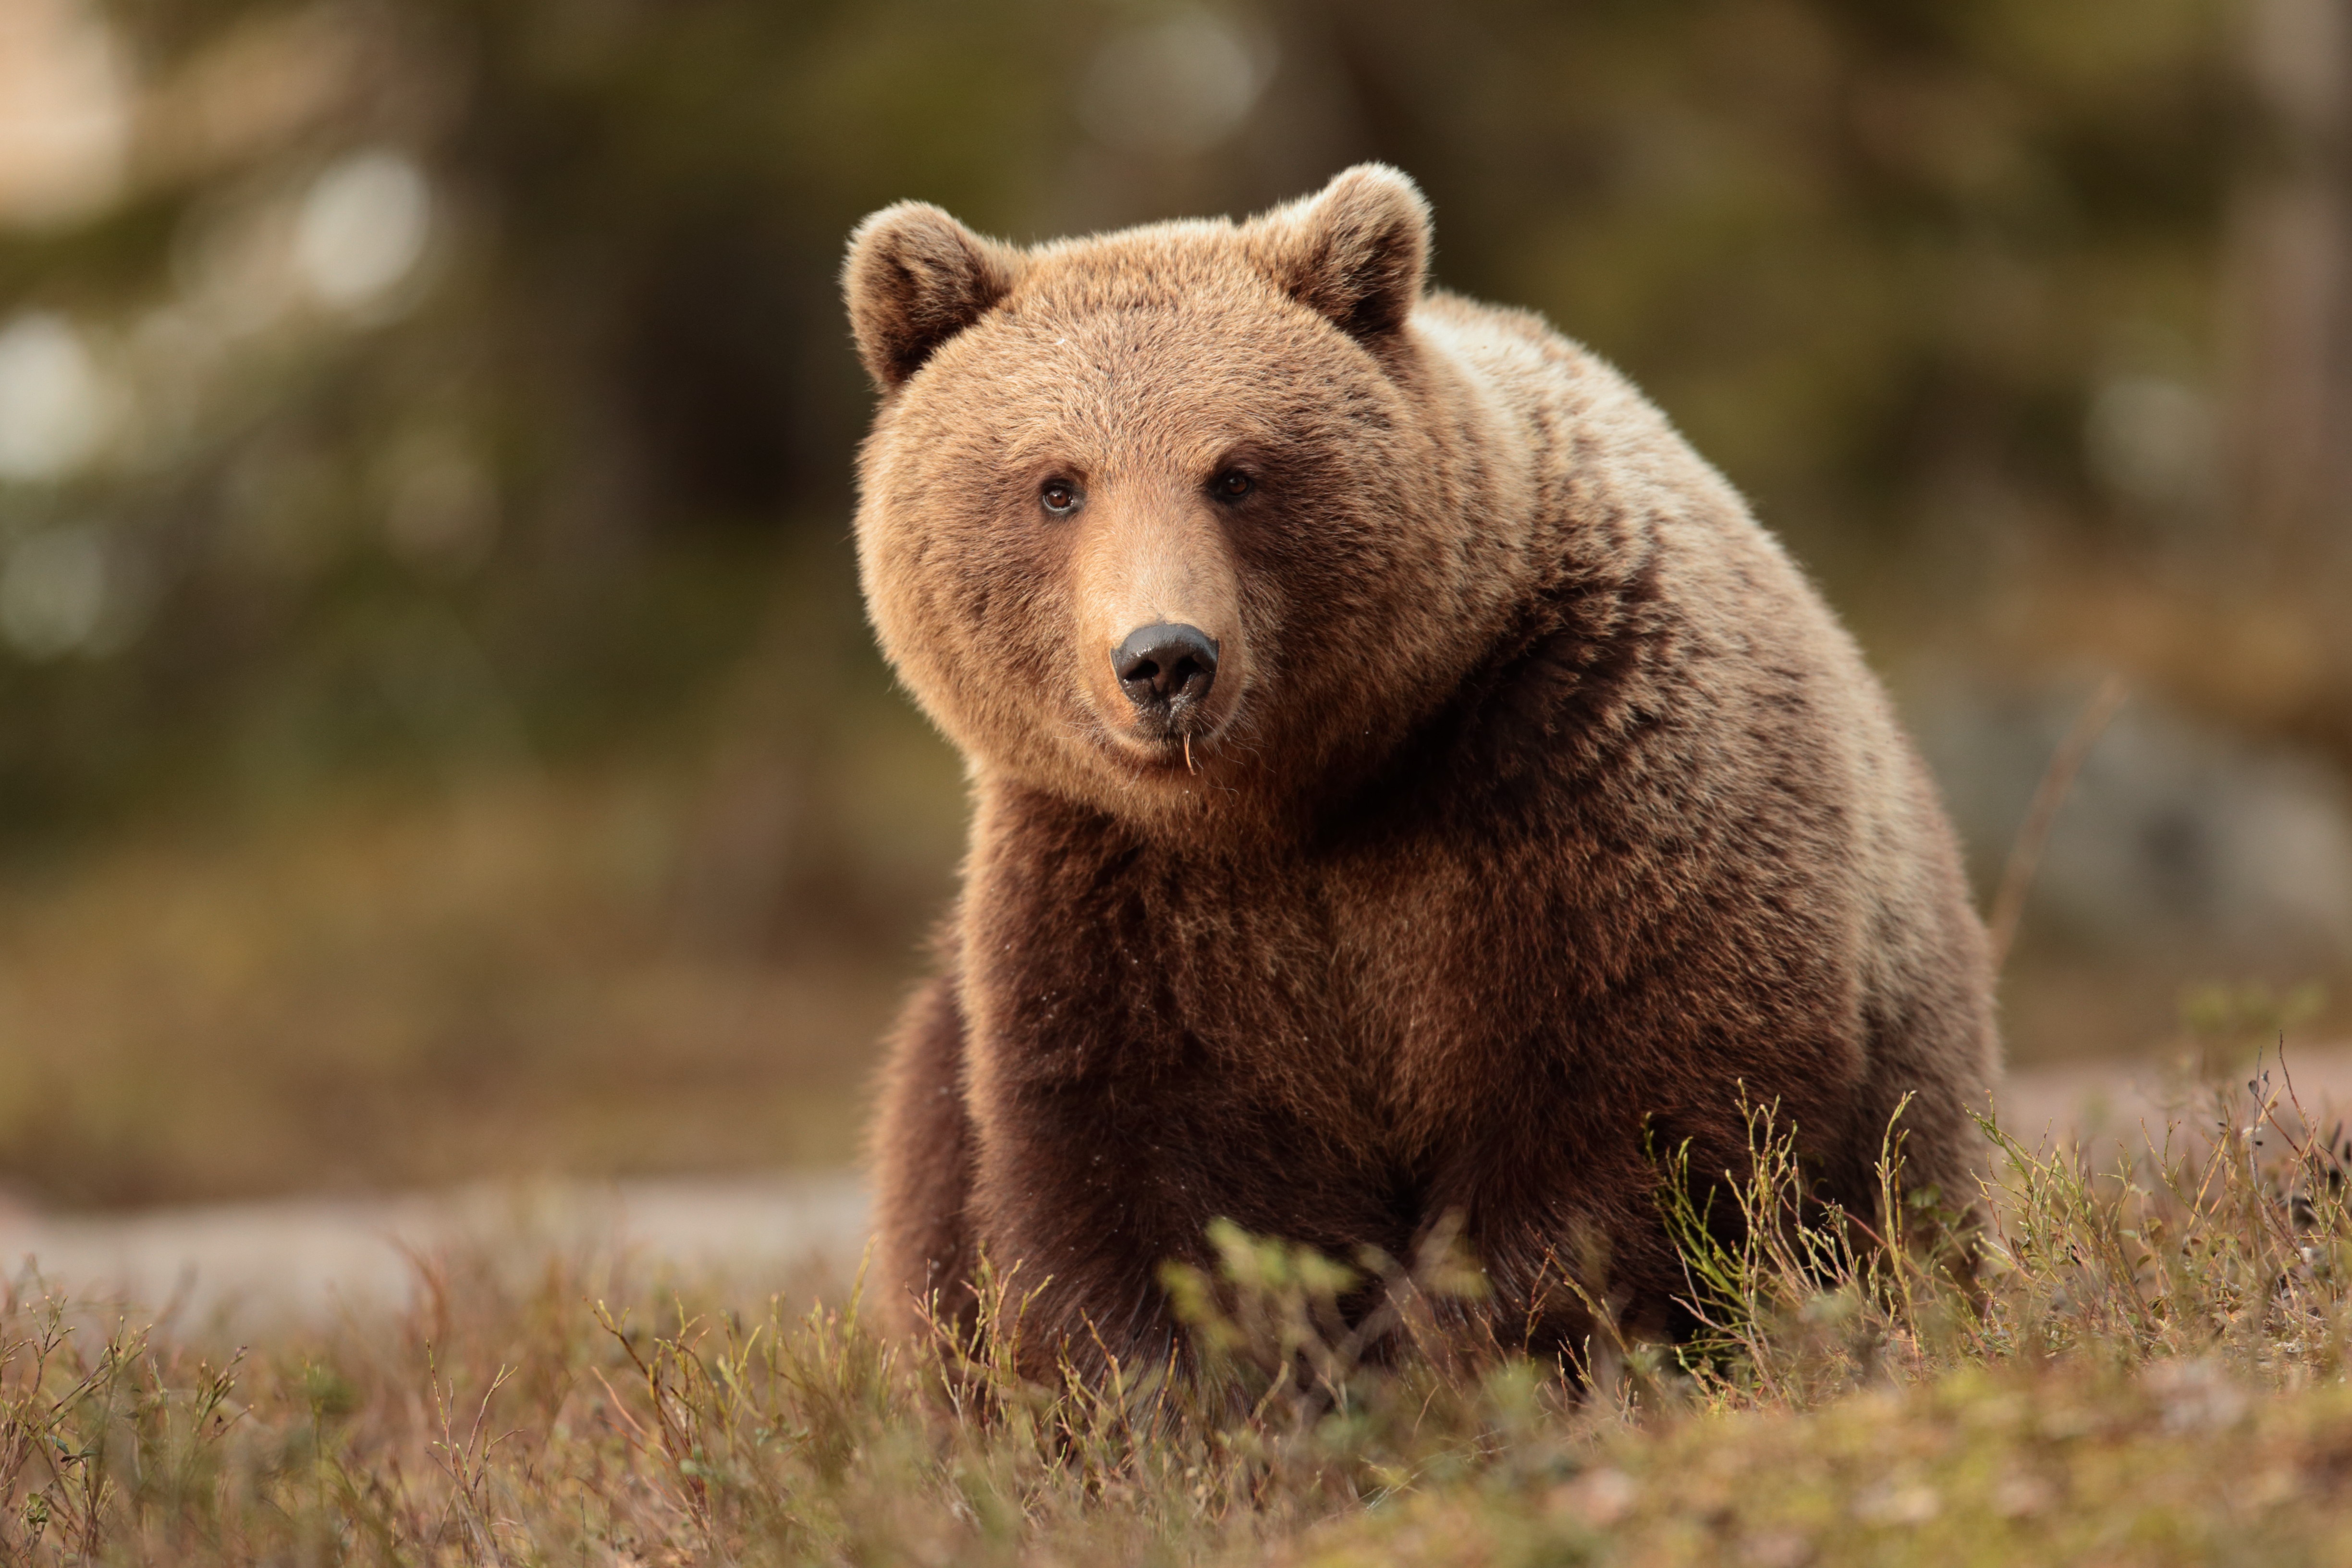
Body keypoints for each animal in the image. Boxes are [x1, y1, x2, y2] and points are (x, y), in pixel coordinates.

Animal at [842, 164, 1999, 1376]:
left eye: (1236, 472)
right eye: (1058, 485)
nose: (1164, 660)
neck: (1295, 801)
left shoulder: (1582, 771)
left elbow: (1620, 1104)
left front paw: (1444, 1357)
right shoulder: (1121, 893)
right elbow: (1146, 1170)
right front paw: (1232, 1379)